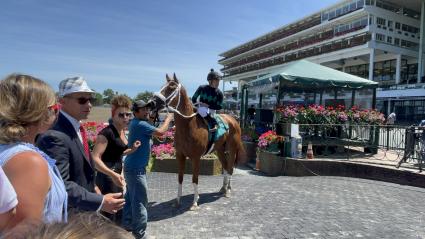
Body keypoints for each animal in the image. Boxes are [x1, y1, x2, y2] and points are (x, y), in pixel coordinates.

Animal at [152, 74, 245, 210]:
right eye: (162, 86)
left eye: (171, 87)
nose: (152, 102)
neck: (189, 126)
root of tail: (233, 120)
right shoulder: (180, 155)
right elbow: (180, 177)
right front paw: (177, 201)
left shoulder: (196, 157)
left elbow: (195, 178)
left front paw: (195, 202)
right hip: (220, 150)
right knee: (225, 167)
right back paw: (223, 188)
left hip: (232, 149)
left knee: (230, 168)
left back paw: (227, 190)